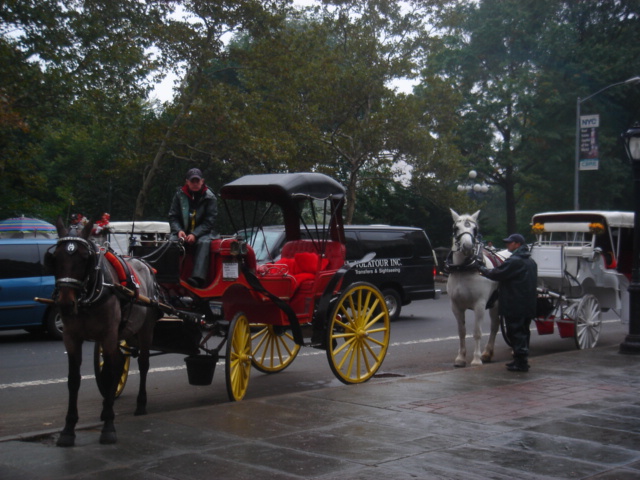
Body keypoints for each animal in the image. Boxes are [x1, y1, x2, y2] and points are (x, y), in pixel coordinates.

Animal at [48, 218, 161, 446]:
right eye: (55, 257)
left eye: (85, 257)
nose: (65, 303)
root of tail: (145, 264)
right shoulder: (71, 338)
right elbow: (74, 380)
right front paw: (68, 429)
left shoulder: (108, 336)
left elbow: (108, 374)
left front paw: (108, 427)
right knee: (118, 363)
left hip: (146, 330)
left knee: (143, 364)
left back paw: (140, 404)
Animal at [448, 209, 508, 368]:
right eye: (456, 228)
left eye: (475, 230)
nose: (468, 246)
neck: (464, 269)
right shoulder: (456, 306)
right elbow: (461, 331)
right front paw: (461, 358)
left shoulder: (479, 305)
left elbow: (477, 332)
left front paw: (476, 359)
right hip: (495, 304)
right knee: (495, 326)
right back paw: (487, 353)